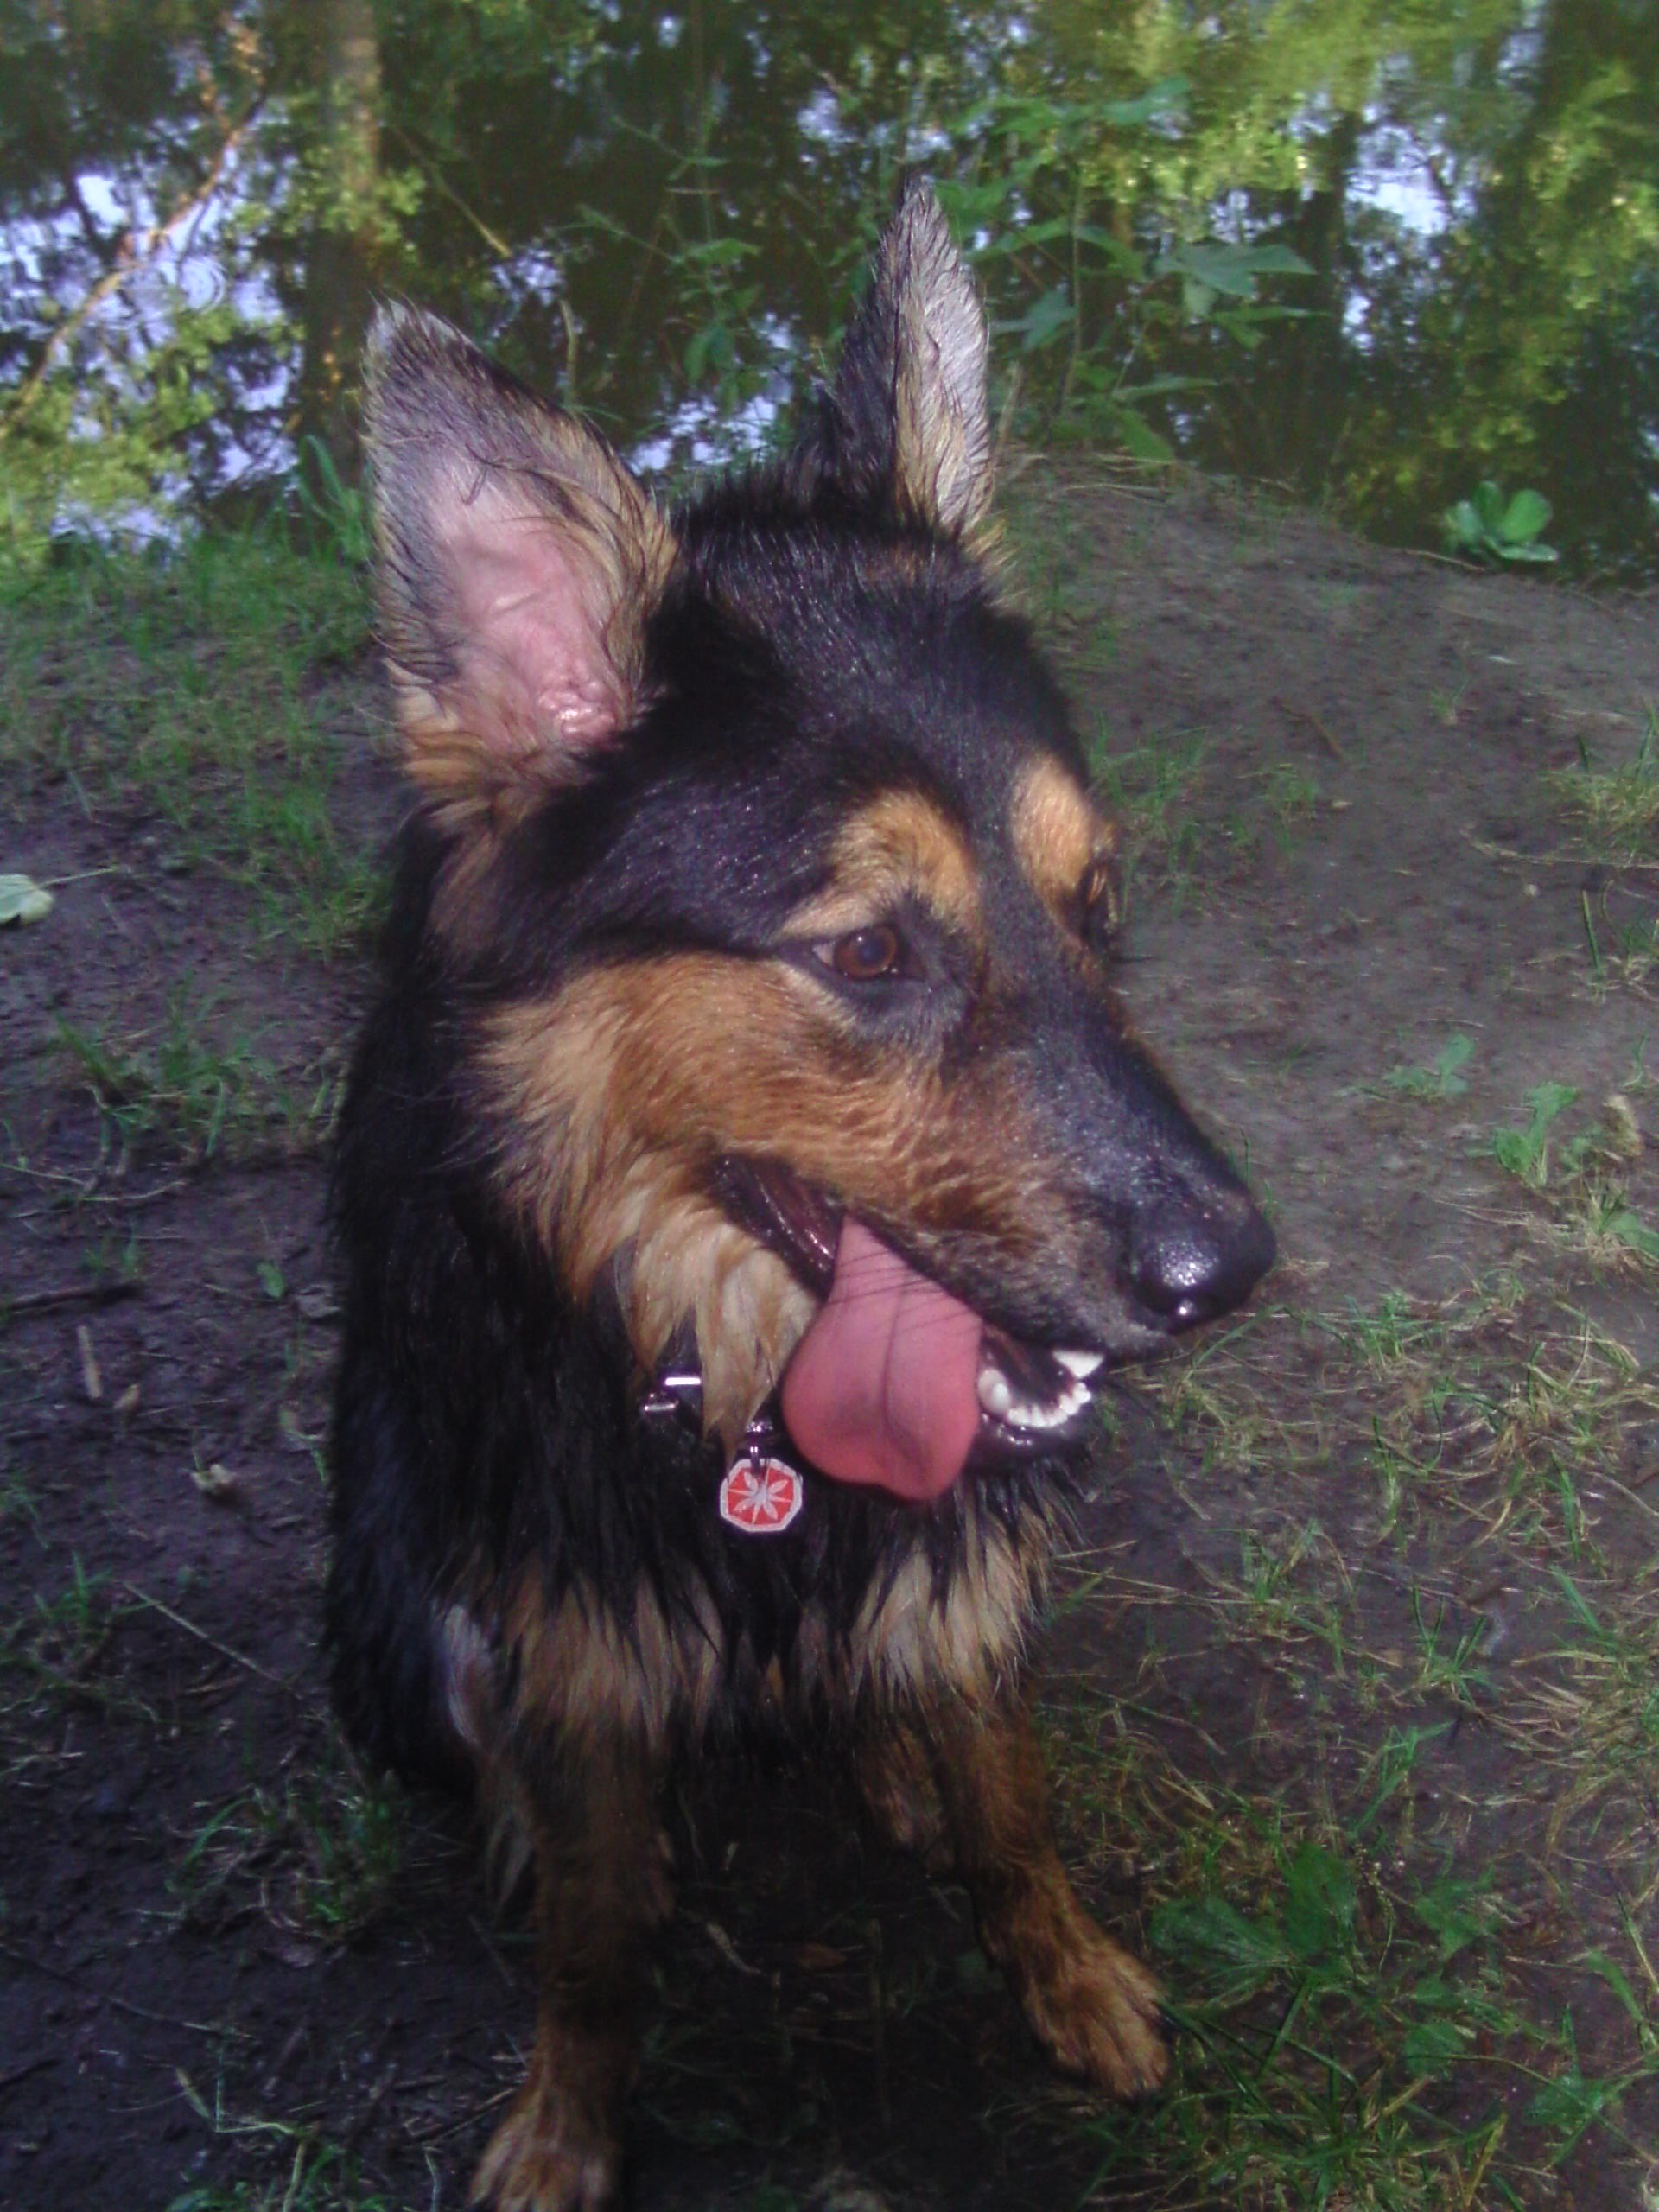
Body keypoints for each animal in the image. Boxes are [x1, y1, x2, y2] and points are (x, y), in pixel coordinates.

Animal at [332, 181, 1282, 2202]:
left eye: (1099, 905)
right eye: (864, 953)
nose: (1229, 1271)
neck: (739, 1396)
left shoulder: (965, 1563)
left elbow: (1015, 1798)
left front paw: (1066, 1969)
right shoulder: (571, 1623)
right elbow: (594, 1941)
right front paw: (569, 2116)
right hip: (391, 1605)